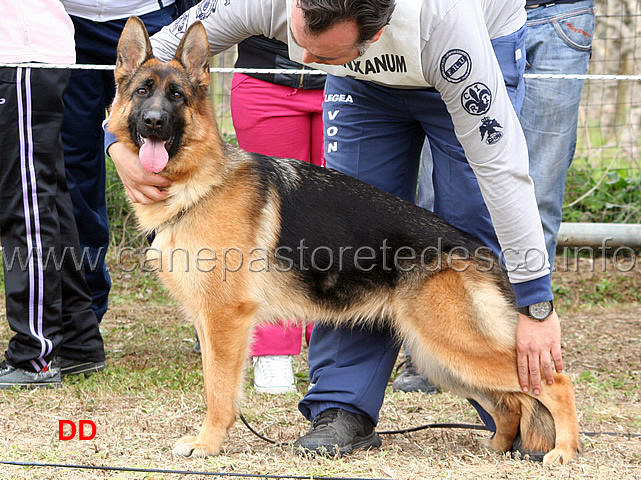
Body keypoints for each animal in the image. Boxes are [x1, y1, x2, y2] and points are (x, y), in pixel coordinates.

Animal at [110, 16, 580, 464]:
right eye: (142, 92)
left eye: (176, 97)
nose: (154, 122)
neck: (199, 185)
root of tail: (482, 252)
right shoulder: (209, 324)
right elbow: (213, 383)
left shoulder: (225, 321)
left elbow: (219, 392)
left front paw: (208, 443)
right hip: (439, 357)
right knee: (512, 403)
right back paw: (497, 447)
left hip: (453, 346)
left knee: (554, 382)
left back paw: (563, 450)